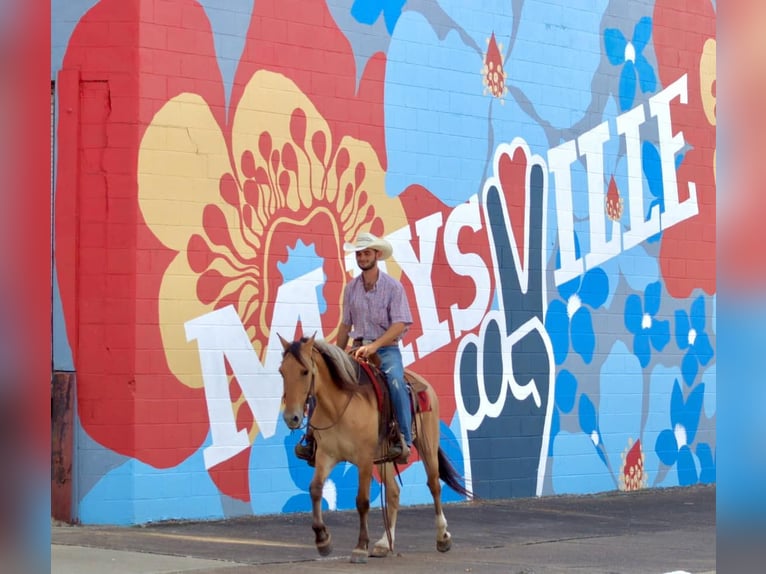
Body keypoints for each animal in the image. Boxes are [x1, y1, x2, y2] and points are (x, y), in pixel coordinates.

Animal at [280, 336, 472, 564]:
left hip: (427, 445)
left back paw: (442, 537)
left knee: (434, 485)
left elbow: (362, 501)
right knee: (394, 492)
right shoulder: (325, 456)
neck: (340, 405)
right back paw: (383, 544)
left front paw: (360, 547)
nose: (291, 418)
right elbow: (315, 489)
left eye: (305, 371)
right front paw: (323, 540)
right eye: (282, 371)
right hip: (383, 457)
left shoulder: (364, 459)